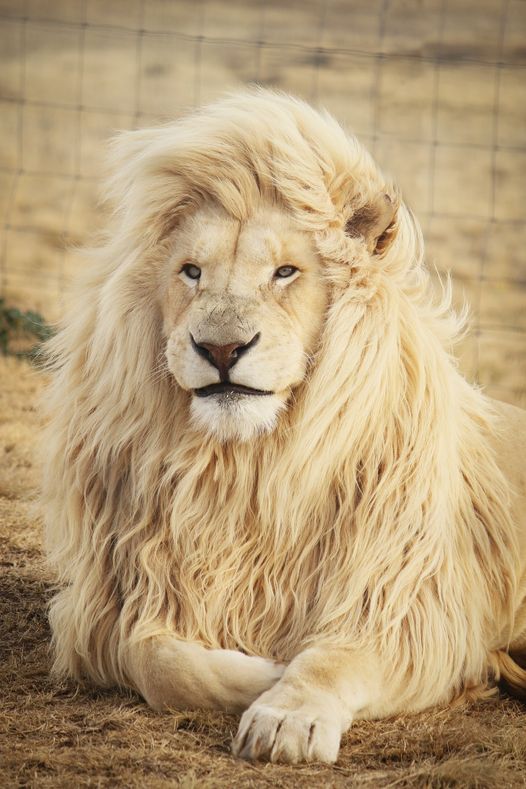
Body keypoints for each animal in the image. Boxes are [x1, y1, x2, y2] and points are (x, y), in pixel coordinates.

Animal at [43, 88, 526, 765]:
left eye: (285, 273)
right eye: (191, 271)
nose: (220, 349)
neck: (247, 467)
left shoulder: (407, 607)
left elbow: (331, 659)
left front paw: (285, 714)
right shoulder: (117, 603)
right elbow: (158, 661)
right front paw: (264, 672)